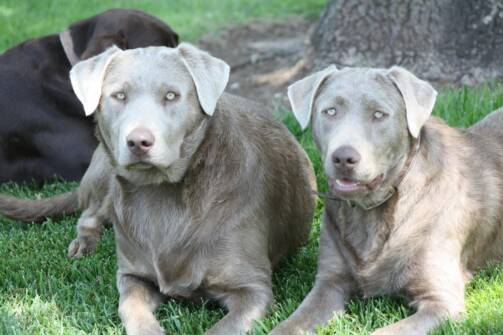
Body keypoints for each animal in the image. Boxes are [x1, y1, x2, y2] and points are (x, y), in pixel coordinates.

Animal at [0, 43, 316, 334]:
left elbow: (221, 329)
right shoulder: (131, 275)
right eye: (119, 96)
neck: (160, 193)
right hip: (104, 172)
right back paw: (84, 243)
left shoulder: (253, 288)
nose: (139, 141)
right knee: (89, 214)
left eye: (171, 95)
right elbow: (130, 308)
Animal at [272, 64, 503, 334]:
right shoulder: (329, 283)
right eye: (330, 111)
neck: (373, 211)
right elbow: (289, 325)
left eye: (379, 114)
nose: (344, 158)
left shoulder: (442, 303)